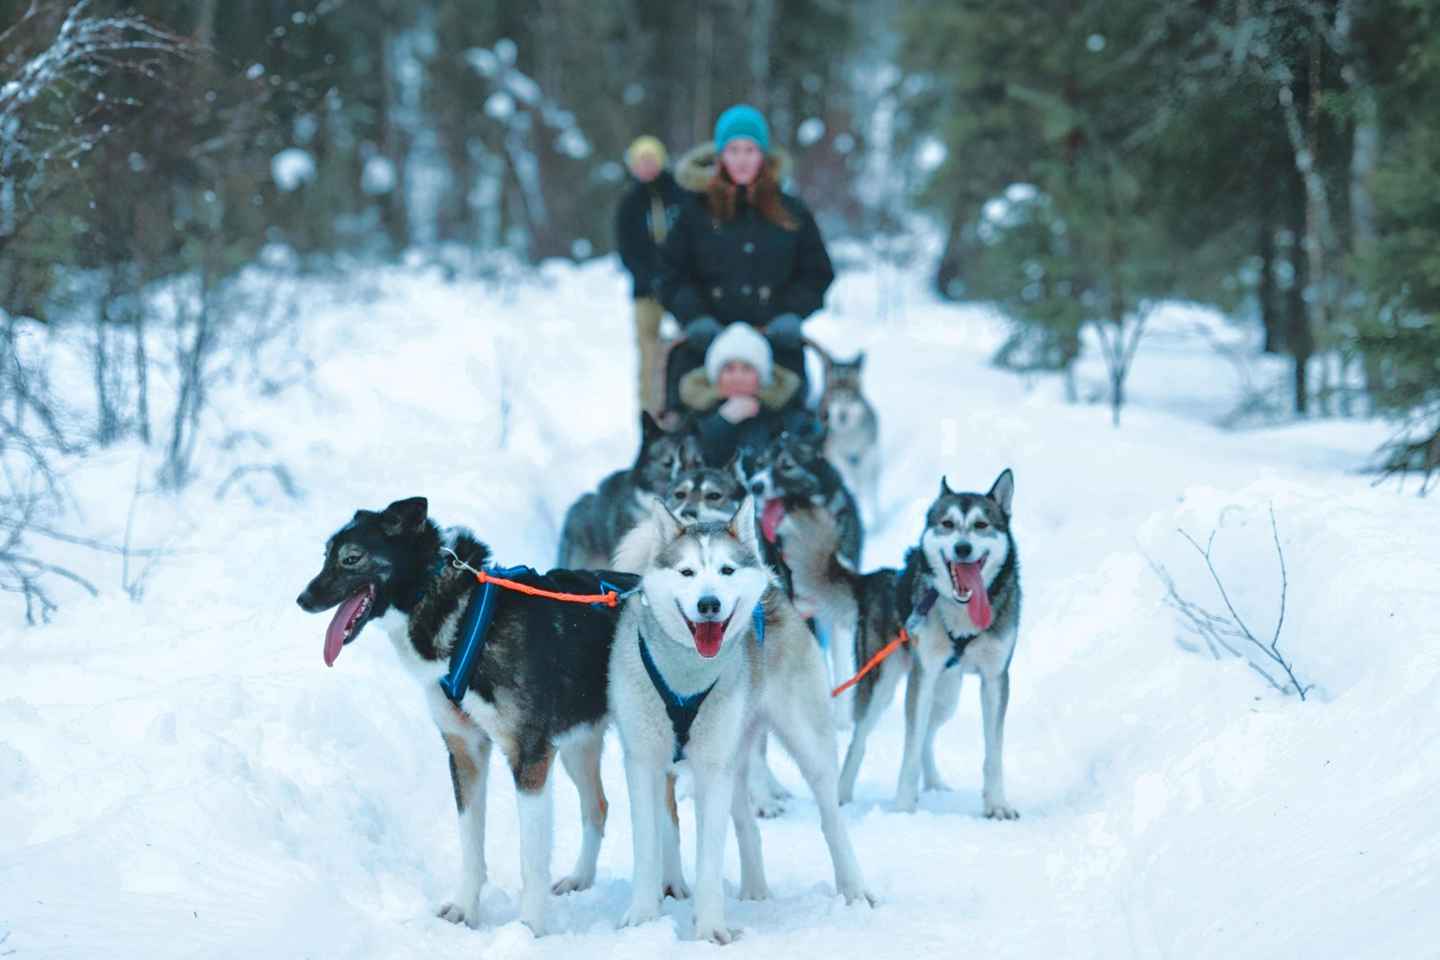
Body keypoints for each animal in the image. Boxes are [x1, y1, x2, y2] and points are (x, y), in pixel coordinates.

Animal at [296, 500, 624, 932]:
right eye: (326, 556)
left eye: (351, 558)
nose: (303, 599)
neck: (466, 620)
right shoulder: (465, 751)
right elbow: (470, 844)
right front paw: (465, 909)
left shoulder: (530, 758)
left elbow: (531, 859)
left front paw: (529, 928)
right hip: (577, 745)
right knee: (597, 807)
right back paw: (581, 879)